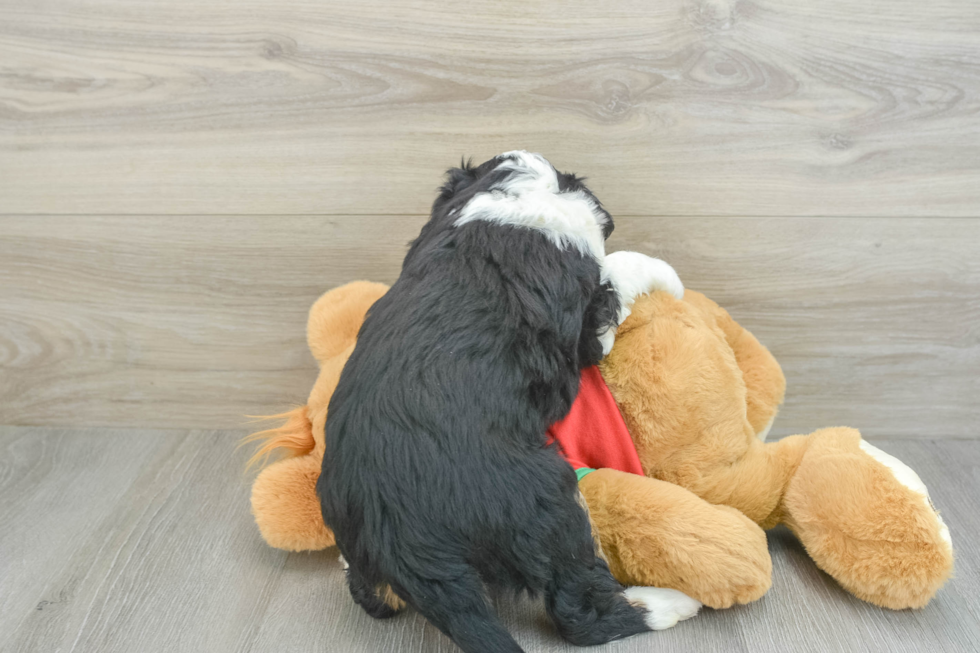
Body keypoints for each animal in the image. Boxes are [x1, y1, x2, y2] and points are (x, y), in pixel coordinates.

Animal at [322, 150, 696, 648]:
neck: (504, 207)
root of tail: (398, 538)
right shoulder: (587, 329)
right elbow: (620, 267)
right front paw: (669, 279)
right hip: (548, 502)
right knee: (580, 612)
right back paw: (670, 603)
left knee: (373, 598)